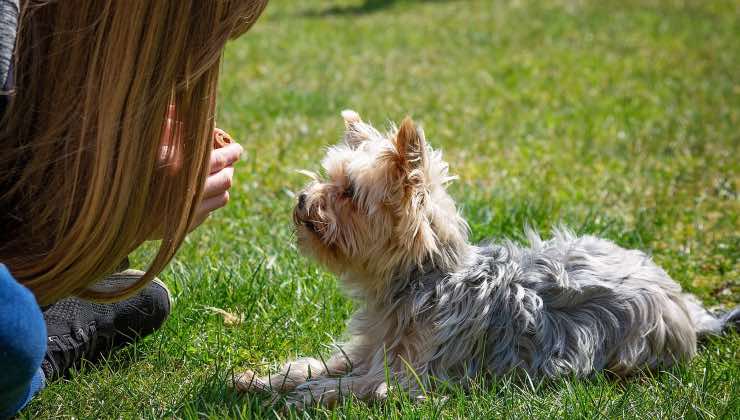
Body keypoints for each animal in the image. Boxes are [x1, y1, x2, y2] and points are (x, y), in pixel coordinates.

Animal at [236, 110, 736, 406]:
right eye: (328, 178)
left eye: (349, 193)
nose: (302, 199)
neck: (421, 281)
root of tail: (686, 307)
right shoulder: (369, 347)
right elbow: (324, 364)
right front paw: (262, 379)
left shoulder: (411, 378)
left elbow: (356, 385)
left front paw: (300, 395)